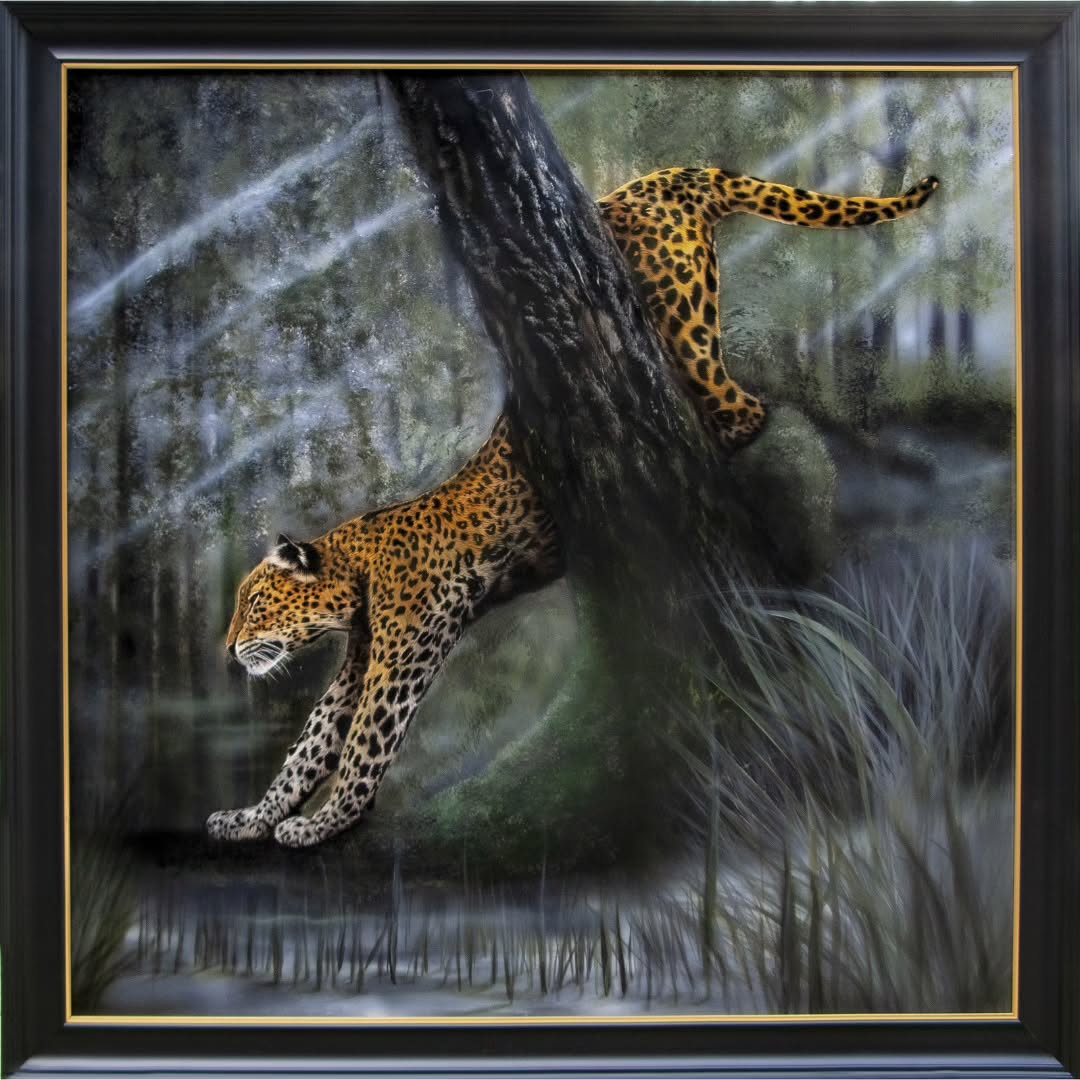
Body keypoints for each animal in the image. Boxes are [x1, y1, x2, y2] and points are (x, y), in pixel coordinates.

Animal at [207, 167, 939, 847]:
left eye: (256, 604)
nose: (226, 650)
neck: (354, 572)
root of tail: (661, 178)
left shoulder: (403, 649)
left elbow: (364, 741)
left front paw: (322, 822)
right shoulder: (362, 657)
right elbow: (311, 743)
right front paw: (251, 817)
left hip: (684, 332)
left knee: (750, 414)